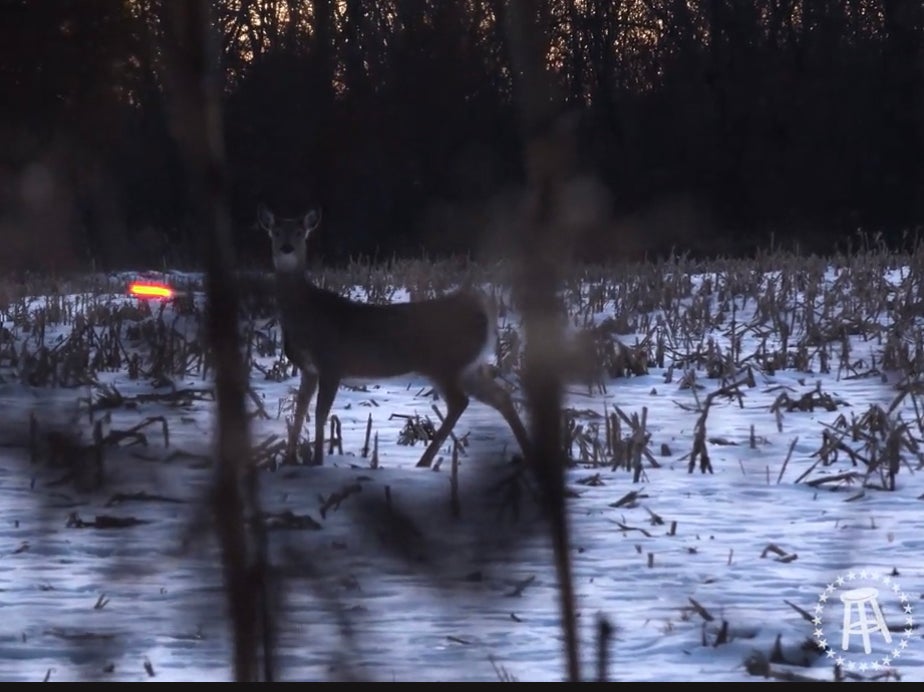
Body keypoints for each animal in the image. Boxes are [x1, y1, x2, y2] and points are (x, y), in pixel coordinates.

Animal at [258, 205, 532, 468]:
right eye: (275, 231)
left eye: (300, 232)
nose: (286, 248)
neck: (305, 310)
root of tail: (484, 312)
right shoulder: (308, 368)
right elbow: (300, 411)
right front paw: (291, 459)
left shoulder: (331, 363)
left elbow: (320, 413)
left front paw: (316, 462)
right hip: (468, 365)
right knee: (501, 396)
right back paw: (527, 450)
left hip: (445, 364)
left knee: (459, 402)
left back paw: (424, 461)